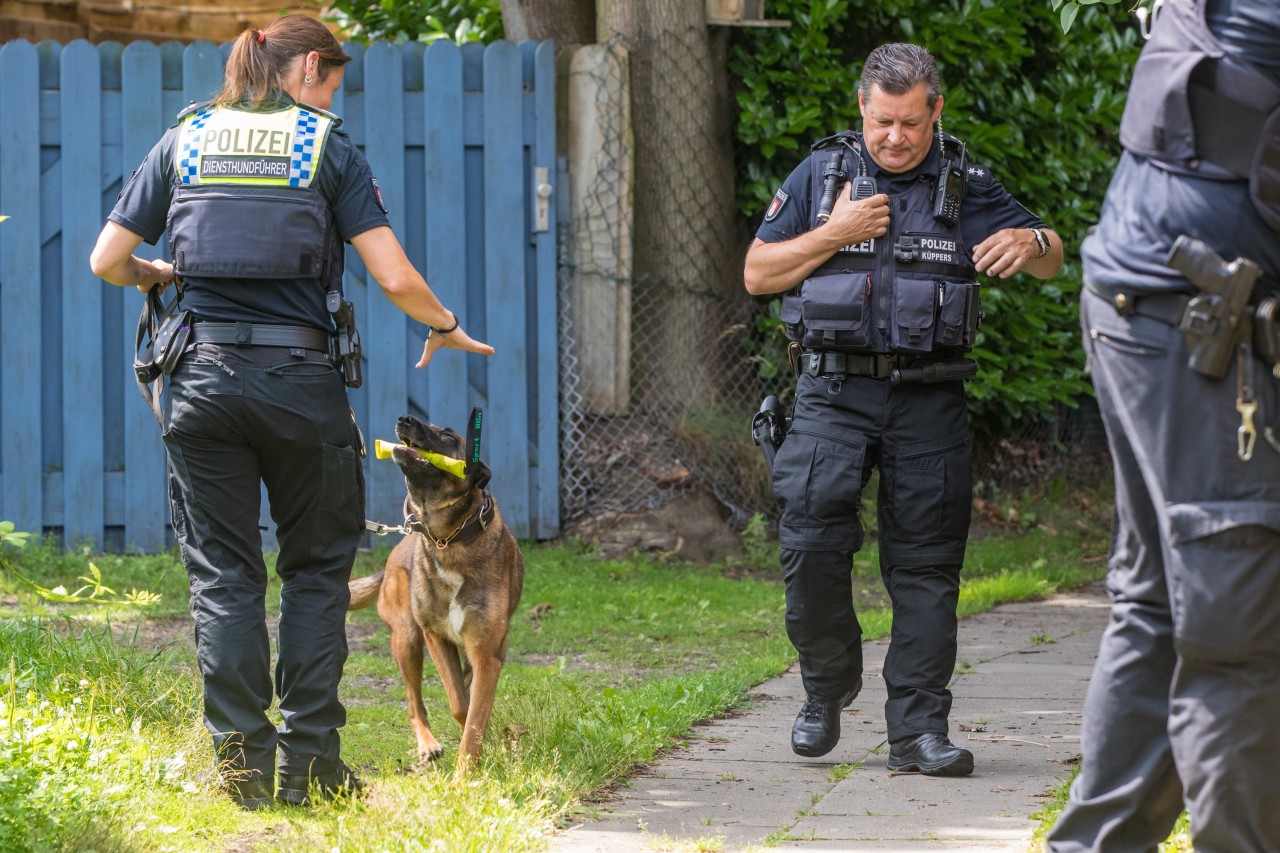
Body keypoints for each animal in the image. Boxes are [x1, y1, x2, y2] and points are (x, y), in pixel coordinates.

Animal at [348, 412, 522, 768]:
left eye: (448, 435)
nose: (404, 418)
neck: (447, 539)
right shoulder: (436, 638)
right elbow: (461, 706)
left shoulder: (487, 652)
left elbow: (474, 713)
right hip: (407, 638)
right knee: (415, 703)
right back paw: (427, 744)